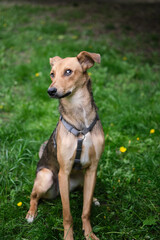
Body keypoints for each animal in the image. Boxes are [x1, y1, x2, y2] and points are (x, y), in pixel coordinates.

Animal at [26, 51, 105, 240]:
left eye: (68, 71)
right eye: (52, 74)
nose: (50, 91)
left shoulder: (93, 168)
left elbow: (86, 211)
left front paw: (89, 233)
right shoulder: (64, 172)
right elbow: (67, 214)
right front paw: (69, 236)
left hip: (85, 178)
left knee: (85, 194)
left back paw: (94, 199)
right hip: (46, 176)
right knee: (34, 196)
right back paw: (31, 214)